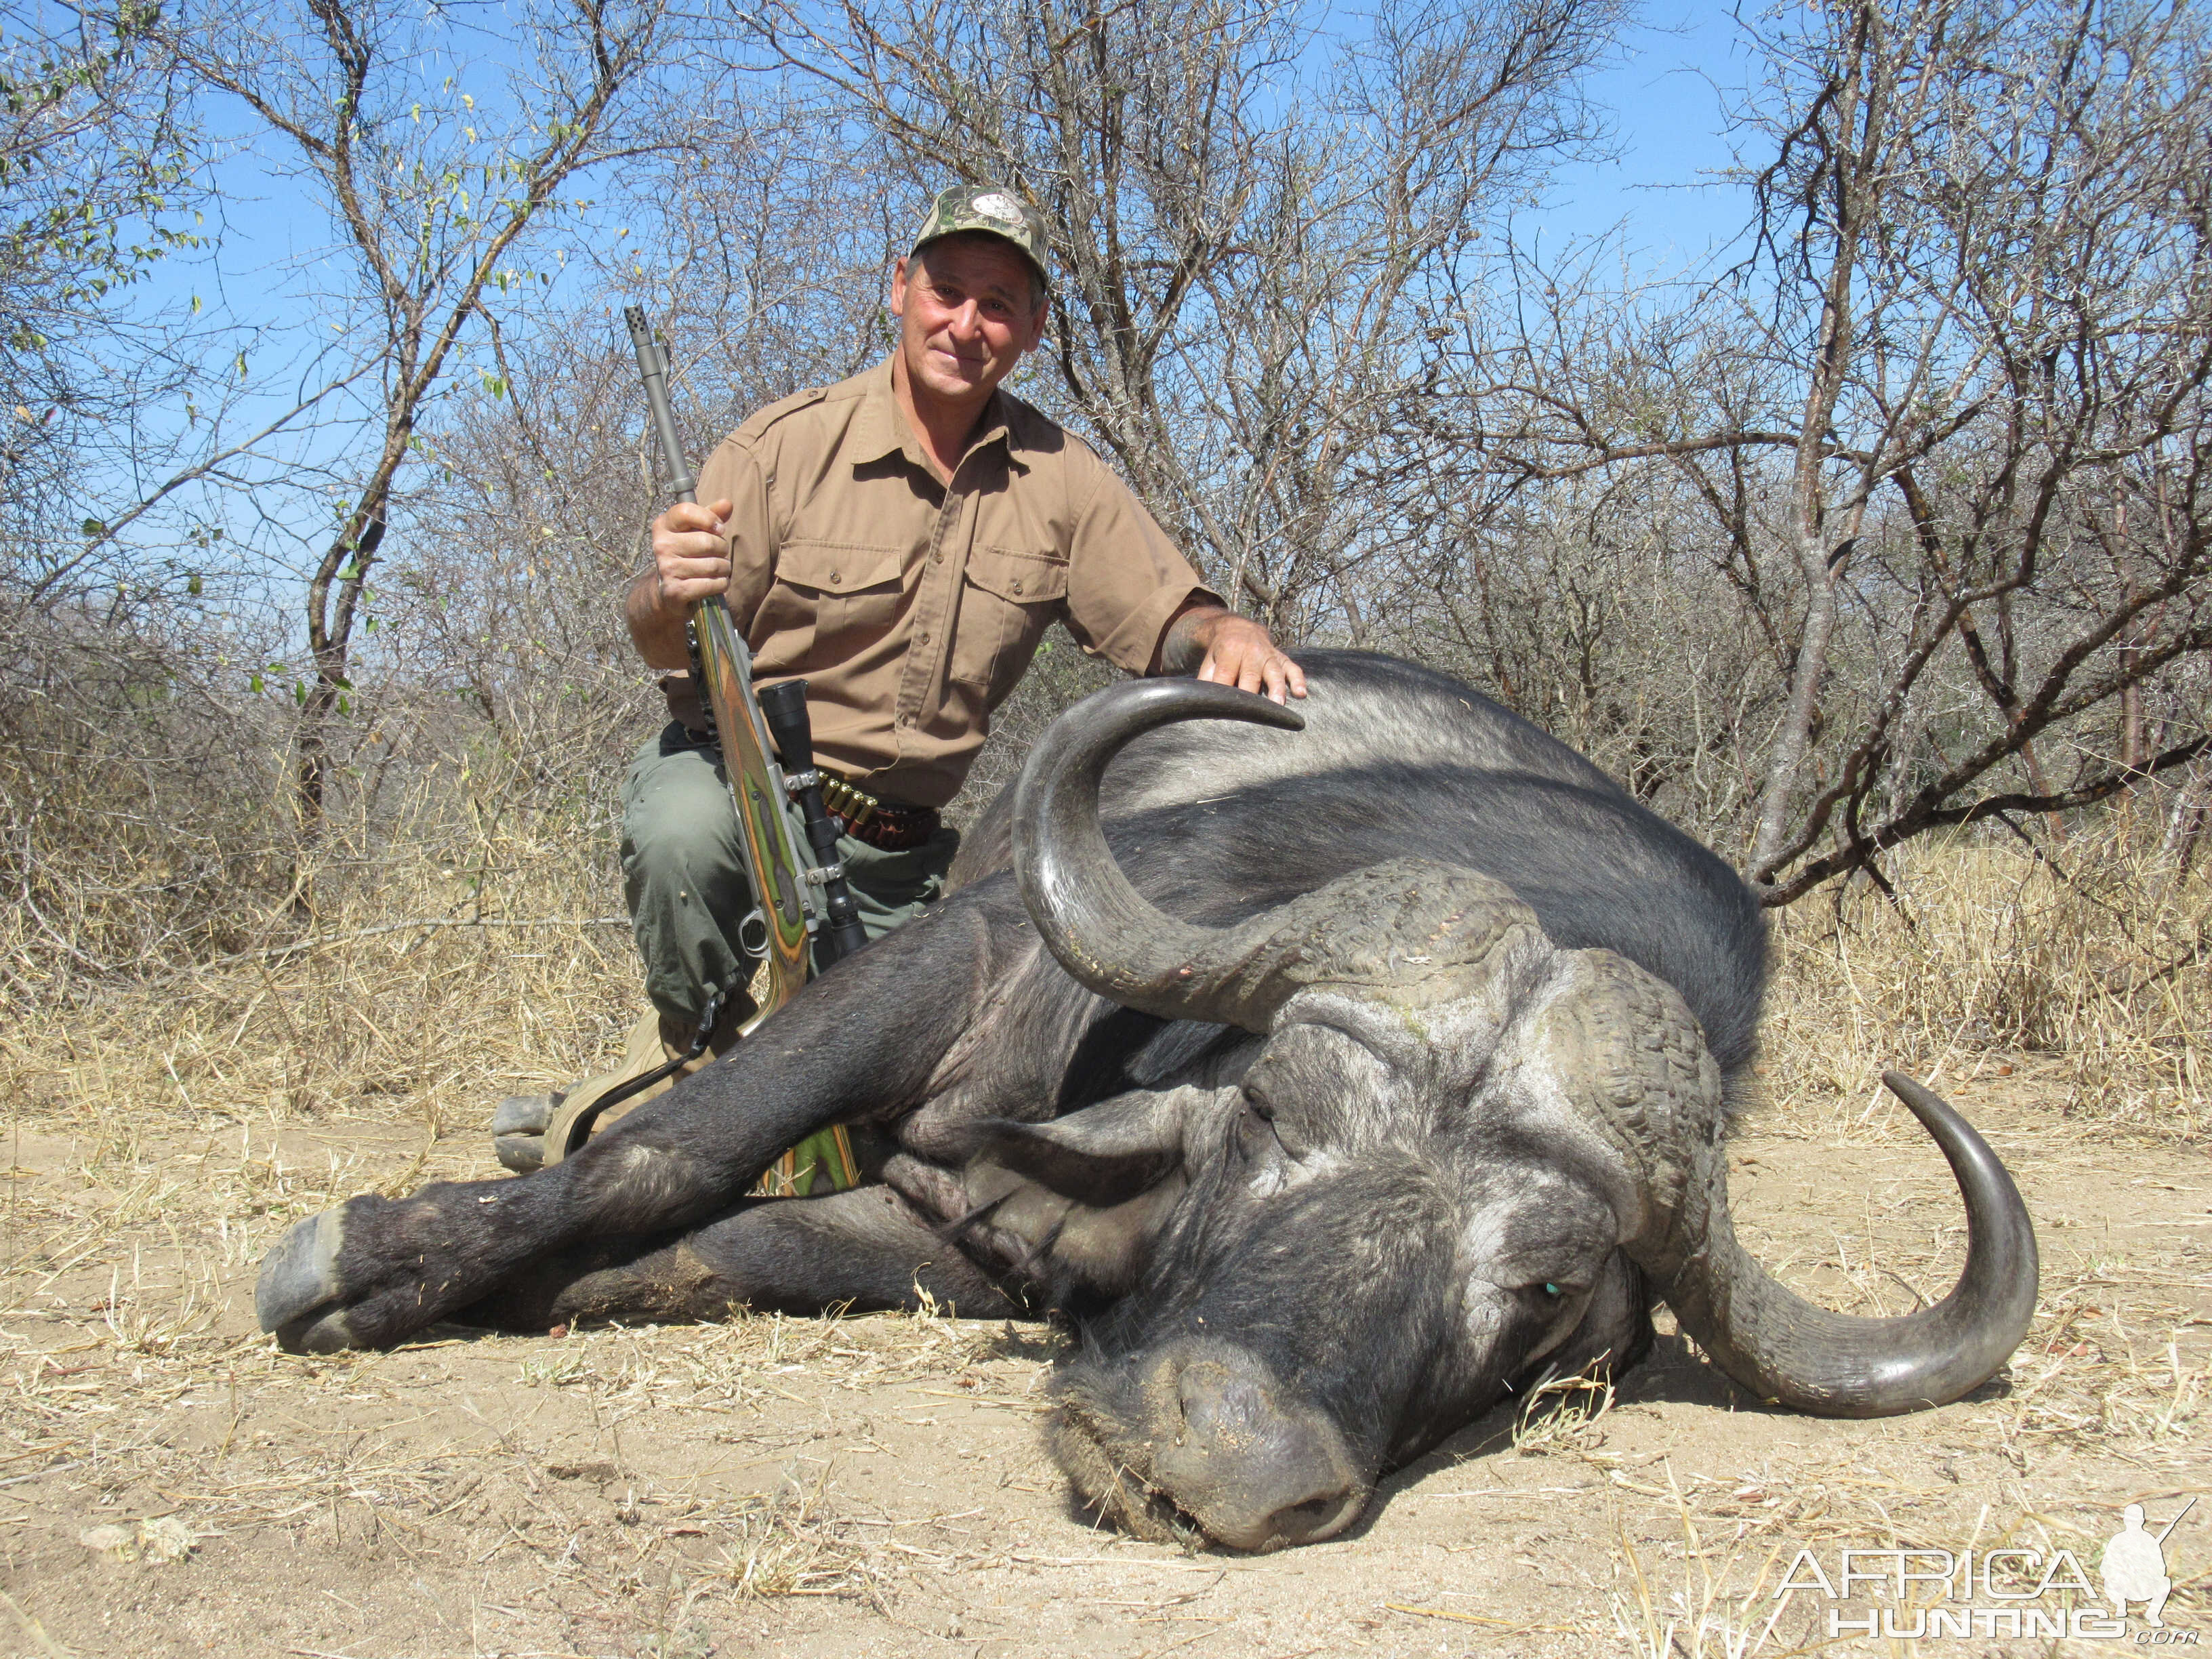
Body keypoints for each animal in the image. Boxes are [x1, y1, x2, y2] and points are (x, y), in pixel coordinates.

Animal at [258, 655, 2034, 1557]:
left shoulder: (957, 1229)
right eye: (1273, 1114)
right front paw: (368, 1256)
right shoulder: (959, 961)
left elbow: (724, 1249)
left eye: (1536, 1288)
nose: (1219, 1461)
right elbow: (660, 1158)